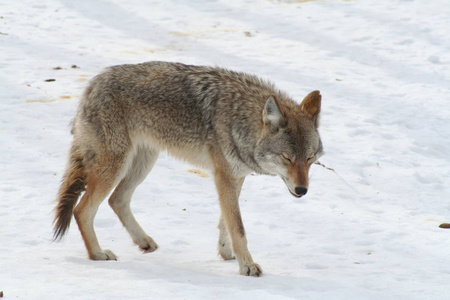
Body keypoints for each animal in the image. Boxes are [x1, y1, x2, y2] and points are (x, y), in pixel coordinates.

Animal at [53, 61, 324, 276]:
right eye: (287, 158)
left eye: (310, 159)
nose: (302, 190)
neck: (239, 118)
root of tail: (93, 83)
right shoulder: (224, 176)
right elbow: (238, 227)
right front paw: (247, 266)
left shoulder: (235, 177)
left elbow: (226, 221)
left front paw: (227, 253)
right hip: (115, 166)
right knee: (82, 210)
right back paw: (98, 254)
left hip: (143, 162)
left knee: (117, 200)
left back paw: (144, 242)